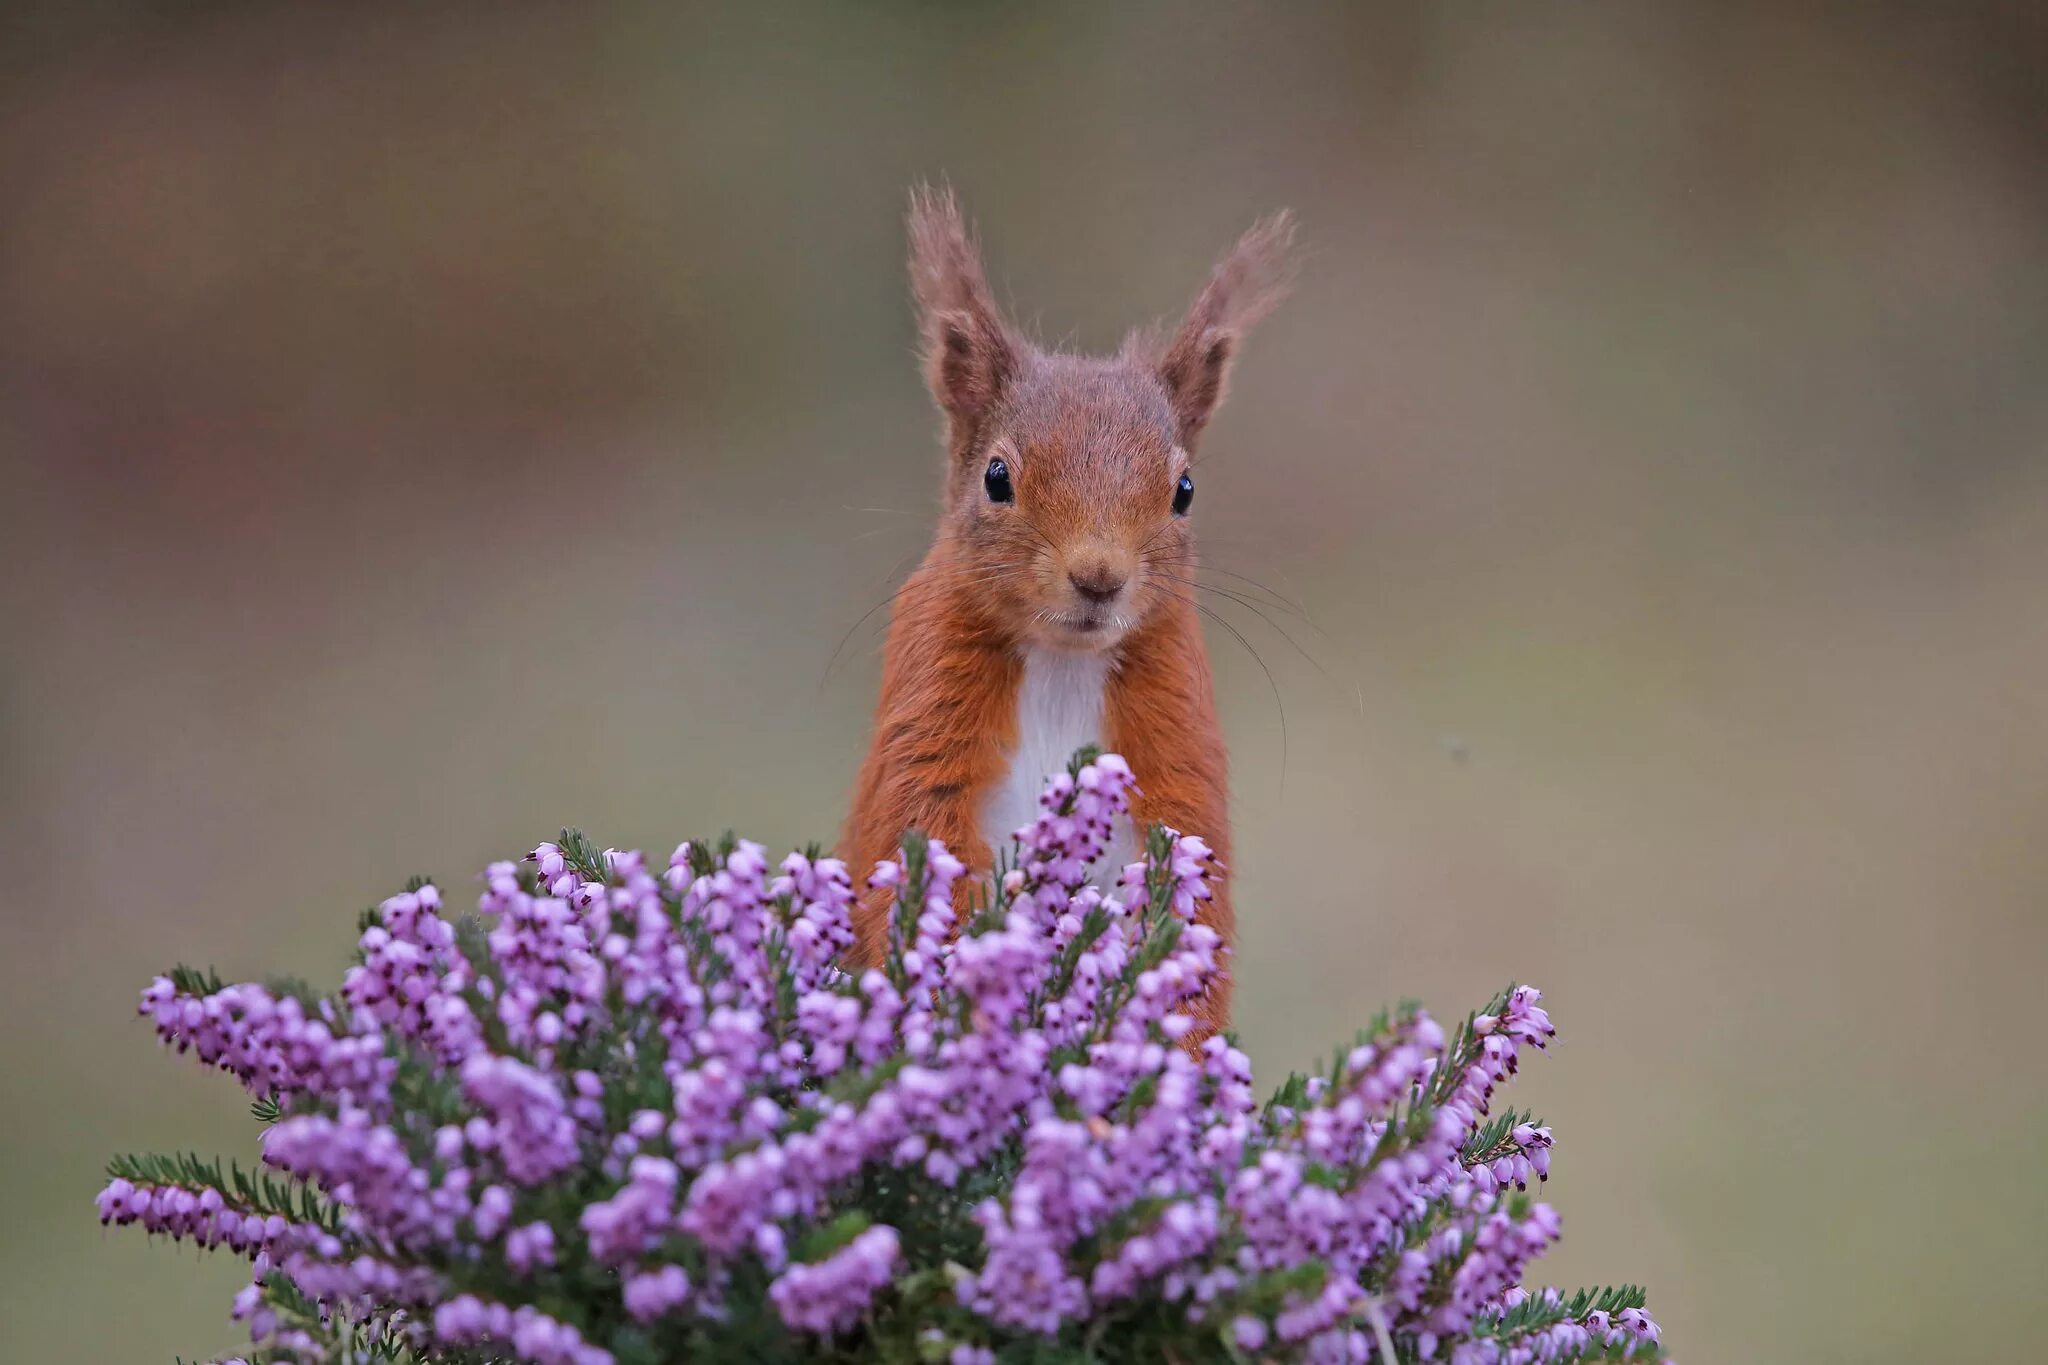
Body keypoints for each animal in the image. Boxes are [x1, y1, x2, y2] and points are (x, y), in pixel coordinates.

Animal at [835, 184, 1286, 1035]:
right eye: (996, 477)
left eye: (1184, 491)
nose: (1098, 575)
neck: (1061, 660)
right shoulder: (928, 700)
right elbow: (916, 827)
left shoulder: (1178, 726)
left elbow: (1196, 882)